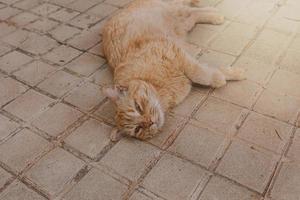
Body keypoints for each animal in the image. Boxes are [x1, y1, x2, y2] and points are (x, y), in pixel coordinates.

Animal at [102, 0, 245, 141]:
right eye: (138, 129)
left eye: (138, 107)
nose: (150, 122)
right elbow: (208, 70)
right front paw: (229, 73)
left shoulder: (176, 52)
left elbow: (200, 74)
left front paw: (220, 78)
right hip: (183, 24)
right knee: (192, 15)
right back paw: (214, 15)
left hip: (174, 11)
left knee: (191, 9)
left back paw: (215, 13)